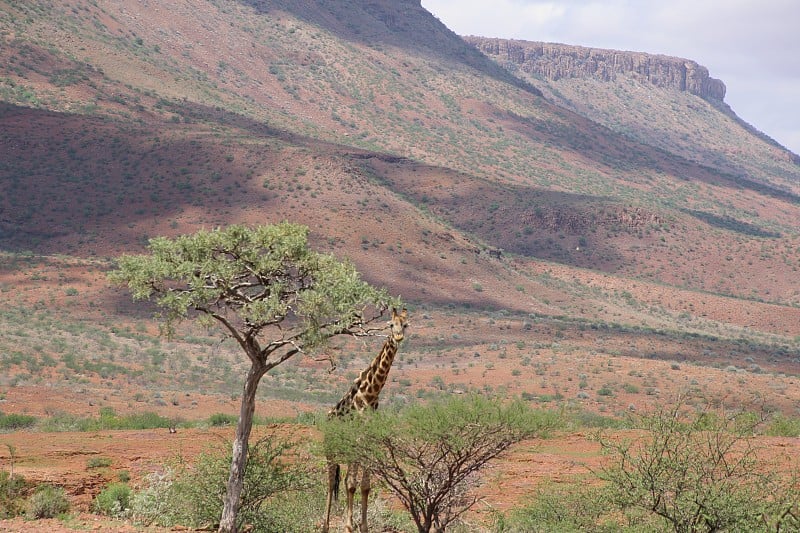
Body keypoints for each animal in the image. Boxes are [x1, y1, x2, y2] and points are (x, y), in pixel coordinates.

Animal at [320, 308, 406, 532]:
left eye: (405, 324)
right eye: (390, 325)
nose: (399, 337)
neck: (370, 394)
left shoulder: (369, 442)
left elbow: (365, 486)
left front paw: (363, 526)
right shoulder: (355, 442)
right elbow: (351, 484)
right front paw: (349, 526)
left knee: (340, 482)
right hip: (331, 452)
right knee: (330, 483)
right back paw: (325, 525)